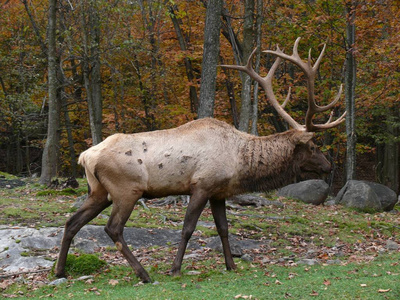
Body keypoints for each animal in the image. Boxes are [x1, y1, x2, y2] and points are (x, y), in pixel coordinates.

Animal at [54, 37, 346, 282]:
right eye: (313, 146)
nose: (329, 165)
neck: (239, 161)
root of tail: (85, 156)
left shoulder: (219, 192)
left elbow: (223, 228)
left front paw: (231, 265)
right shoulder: (201, 185)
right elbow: (187, 228)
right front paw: (175, 268)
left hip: (98, 191)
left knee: (71, 222)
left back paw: (60, 271)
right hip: (126, 189)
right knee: (112, 228)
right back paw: (144, 274)